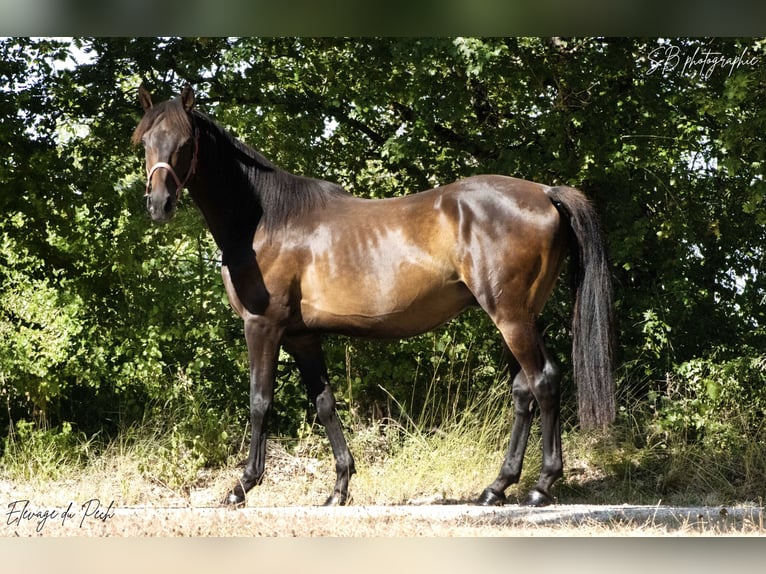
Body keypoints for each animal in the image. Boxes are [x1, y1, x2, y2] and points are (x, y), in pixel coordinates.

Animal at [134, 84, 616, 508]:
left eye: (184, 142)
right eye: (145, 143)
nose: (158, 204)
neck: (266, 220)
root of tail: (545, 193)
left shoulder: (263, 327)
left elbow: (259, 403)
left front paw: (242, 486)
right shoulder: (301, 336)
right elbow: (325, 405)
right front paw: (339, 489)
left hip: (512, 317)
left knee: (544, 382)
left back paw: (541, 487)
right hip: (517, 317)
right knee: (523, 391)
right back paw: (496, 488)